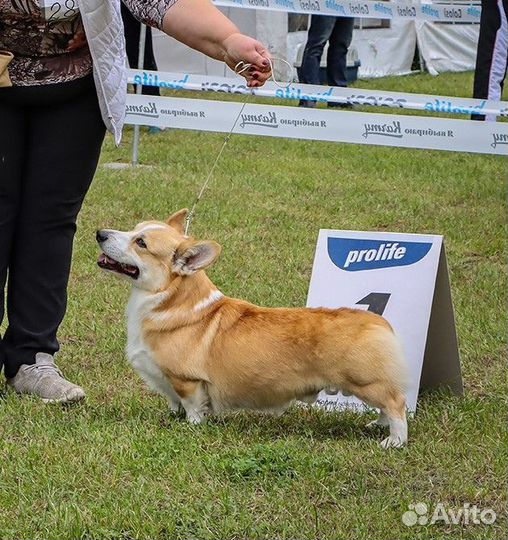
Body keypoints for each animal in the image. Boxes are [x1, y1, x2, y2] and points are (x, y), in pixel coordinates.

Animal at [96, 209, 408, 450]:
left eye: (140, 243)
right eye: (134, 228)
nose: (99, 233)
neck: (171, 301)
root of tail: (378, 322)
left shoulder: (187, 381)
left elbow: (193, 407)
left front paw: (191, 426)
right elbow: (175, 404)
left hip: (368, 383)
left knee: (396, 404)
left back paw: (394, 442)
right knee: (387, 406)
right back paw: (376, 425)